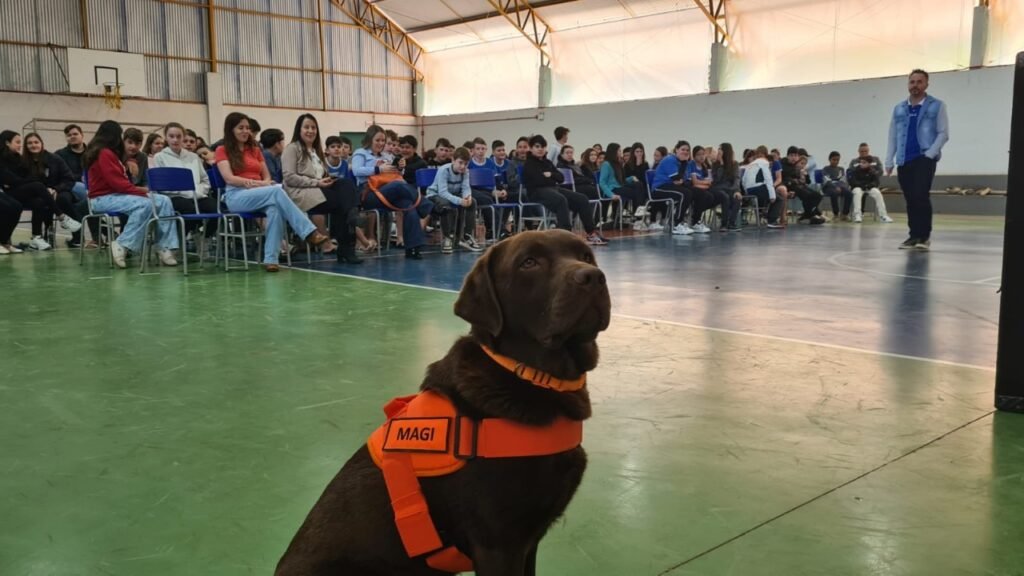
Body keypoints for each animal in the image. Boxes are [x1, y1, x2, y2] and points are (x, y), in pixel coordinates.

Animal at [275, 229, 611, 576]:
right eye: (529, 262)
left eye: (585, 256)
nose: (592, 277)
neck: (531, 377)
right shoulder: (498, 545)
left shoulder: (529, 541)